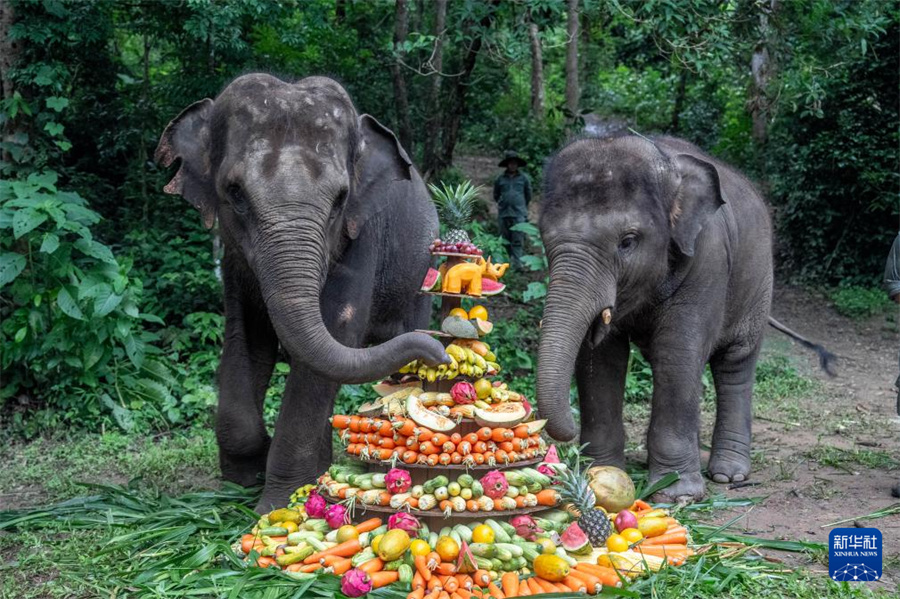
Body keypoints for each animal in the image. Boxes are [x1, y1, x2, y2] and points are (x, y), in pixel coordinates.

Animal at [158, 72, 450, 508]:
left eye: (341, 199)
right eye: (235, 192)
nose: (439, 352)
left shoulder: (363, 234)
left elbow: (334, 338)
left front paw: (277, 503)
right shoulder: (234, 259)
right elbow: (247, 338)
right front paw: (243, 480)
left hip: (420, 275)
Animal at [536, 135, 828, 502]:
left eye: (627, 242)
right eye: (544, 237)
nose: (567, 439)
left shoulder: (708, 259)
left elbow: (678, 354)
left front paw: (678, 495)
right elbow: (602, 359)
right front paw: (599, 473)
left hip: (759, 283)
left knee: (735, 364)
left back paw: (727, 475)